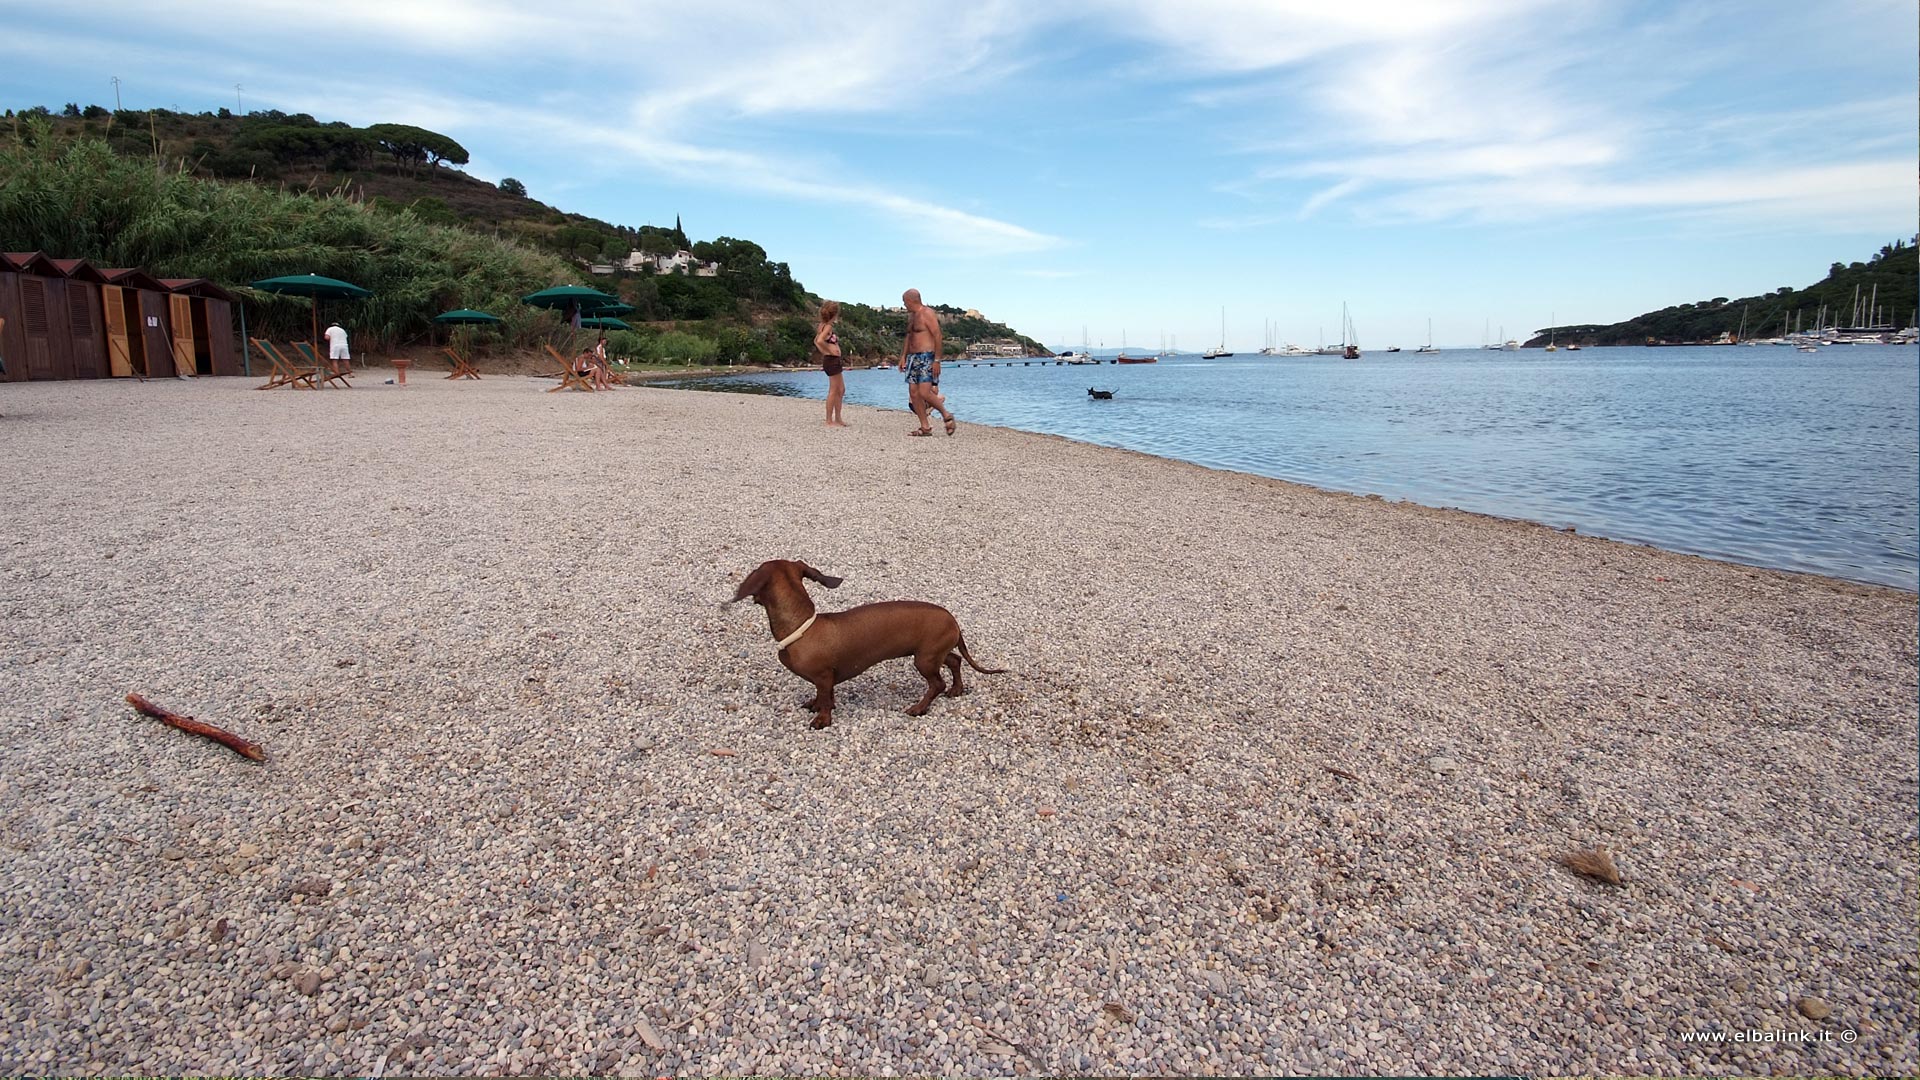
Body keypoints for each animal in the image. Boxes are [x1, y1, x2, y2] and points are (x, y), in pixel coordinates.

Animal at [725, 557, 1013, 726]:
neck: (802, 625)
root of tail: (953, 620)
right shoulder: (824, 680)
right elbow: (823, 696)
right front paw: (815, 705)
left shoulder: (823, 676)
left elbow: (826, 699)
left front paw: (822, 719)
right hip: (934, 653)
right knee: (954, 661)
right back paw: (956, 689)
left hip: (924, 660)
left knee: (937, 684)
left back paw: (919, 708)